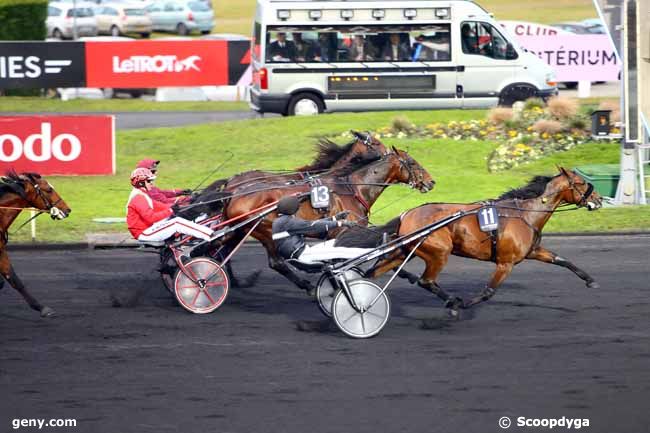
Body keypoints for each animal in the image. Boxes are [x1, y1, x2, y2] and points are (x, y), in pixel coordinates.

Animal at [225, 147, 432, 292]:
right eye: (412, 162)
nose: (431, 182)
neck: (352, 188)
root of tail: (234, 192)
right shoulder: (346, 235)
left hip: (238, 231)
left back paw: (236, 282)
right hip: (267, 230)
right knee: (276, 262)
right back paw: (307, 286)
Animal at [362, 167, 600, 316]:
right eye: (580, 183)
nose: (598, 200)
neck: (525, 213)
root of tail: (407, 214)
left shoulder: (533, 251)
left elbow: (562, 260)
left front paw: (590, 280)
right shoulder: (506, 263)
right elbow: (488, 292)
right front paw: (463, 303)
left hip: (405, 251)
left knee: (374, 272)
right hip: (439, 252)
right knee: (426, 280)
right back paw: (452, 301)